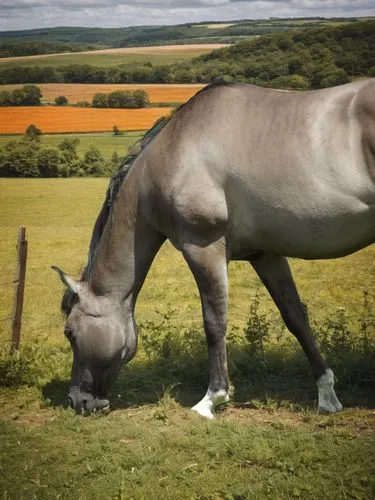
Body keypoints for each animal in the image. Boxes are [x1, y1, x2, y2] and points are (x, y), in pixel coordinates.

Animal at [53, 78, 375, 418]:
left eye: (70, 332)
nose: (77, 401)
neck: (171, 152)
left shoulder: (203, 248)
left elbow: (214, 321)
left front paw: (212, 398)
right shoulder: (266, 255)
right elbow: (295, 317)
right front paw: (326, 394)